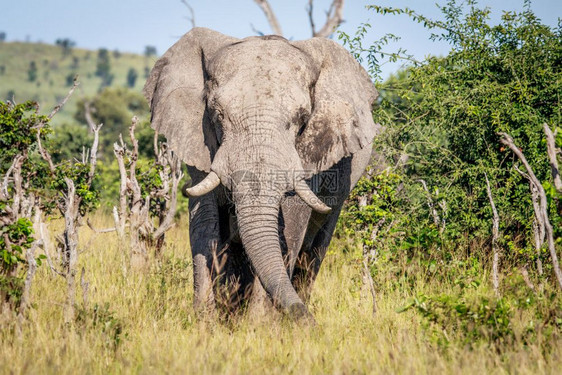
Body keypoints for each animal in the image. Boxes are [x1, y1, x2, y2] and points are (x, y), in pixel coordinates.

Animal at [142, 27, 378, 322]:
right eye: (217, 114)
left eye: (302, 119)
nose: (312, 323)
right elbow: (205, 222)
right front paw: (203, 322)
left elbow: (290, 223)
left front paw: (259, 324)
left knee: (314, 249)